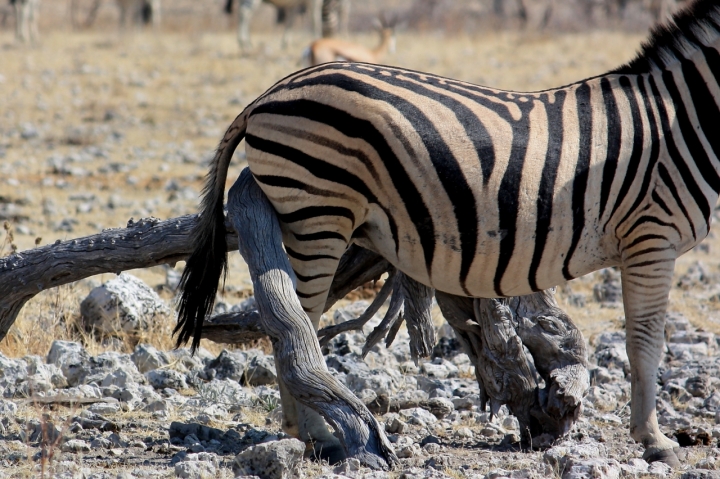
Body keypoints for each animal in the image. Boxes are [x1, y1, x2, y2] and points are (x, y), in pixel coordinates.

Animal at [176, 0, 720, 466]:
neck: (682, 122)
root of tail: (268, 93)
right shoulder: (651, 236)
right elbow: (645, 343)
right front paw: (655, 441)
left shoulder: (648, 241)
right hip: (318, 212)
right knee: (298, 323)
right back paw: (316, 433)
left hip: (308, 213)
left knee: (291, 320)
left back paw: (306, 430)